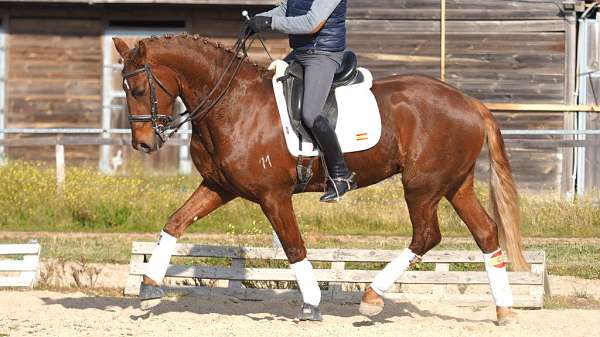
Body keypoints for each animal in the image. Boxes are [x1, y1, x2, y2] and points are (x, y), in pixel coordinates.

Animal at [115, 32, 528, 324]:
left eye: (139, 89)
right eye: (125, 89)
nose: (144, 143)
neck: (232, 103)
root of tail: (470, 102)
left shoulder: (273, 196)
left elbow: (293, 246)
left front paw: (311, 304)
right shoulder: (219, 187)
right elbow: (175, 222)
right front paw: (149, 284)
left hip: (422, 186)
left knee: (426, 235)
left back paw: (372, 297)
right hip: (455, 184)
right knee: (486, 233)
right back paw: (504, 311)